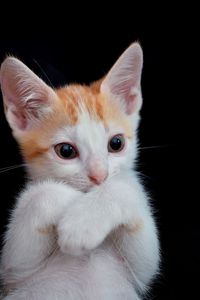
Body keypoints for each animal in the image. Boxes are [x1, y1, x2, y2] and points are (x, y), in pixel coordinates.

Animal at [0, 42, 159, 300]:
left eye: (116, 144)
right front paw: (67, 199)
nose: (99, 176)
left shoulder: (141, 272)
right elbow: (40, 194)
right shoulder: (14, 274)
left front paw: (83, 222)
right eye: (66, 151)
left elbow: (126, 193)